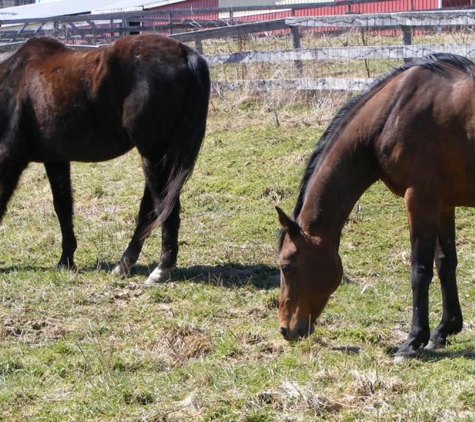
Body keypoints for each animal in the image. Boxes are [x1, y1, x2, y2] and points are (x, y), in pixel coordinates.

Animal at [0, 34, 210, 286]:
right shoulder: (56, 160)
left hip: (153, 156)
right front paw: (66, 260)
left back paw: (161, 268)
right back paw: (124, 264)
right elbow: (63, 207)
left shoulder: (10, 159)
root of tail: (185, 53)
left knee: (165, 207)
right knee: (150, 209)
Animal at [276, 54, 475, 362]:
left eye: (286, 266)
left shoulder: (420, 199)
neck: (394, 112)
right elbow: (445, 263)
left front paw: (412, 341)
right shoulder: (443, 203)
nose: (286, 329)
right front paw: (443, 330)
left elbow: (419, 270)